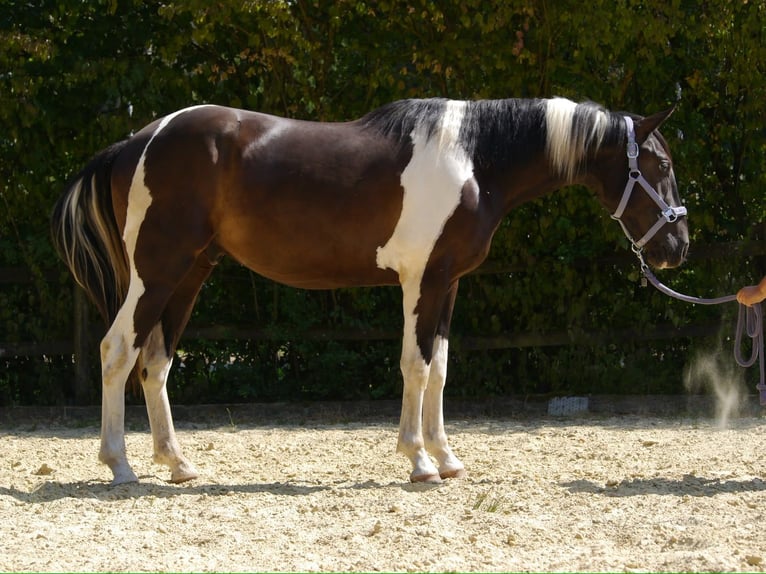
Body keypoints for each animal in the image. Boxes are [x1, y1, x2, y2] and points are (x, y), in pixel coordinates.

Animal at [51, 97, 689, 485]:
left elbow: (440, 368)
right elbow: (415, 365)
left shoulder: (447, 283)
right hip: (156, 272)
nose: (676, 247)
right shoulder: (420, 280)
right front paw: (419, 461)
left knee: (155, 361)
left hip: (189, 273)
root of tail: (137, 141)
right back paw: (121, 466)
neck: (475, 158)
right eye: (659, 165)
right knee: (117, 352)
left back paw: (177, 463)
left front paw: (446, 457)